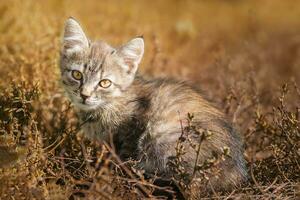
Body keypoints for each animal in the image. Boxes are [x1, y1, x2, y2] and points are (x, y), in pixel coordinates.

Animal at [59, 18, 247, 193]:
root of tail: (237, 175)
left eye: (104, 83)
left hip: (162, 136)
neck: (110, 104)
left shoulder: (131, 131)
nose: (85, 95)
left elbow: (124, 159)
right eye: (77, 75)